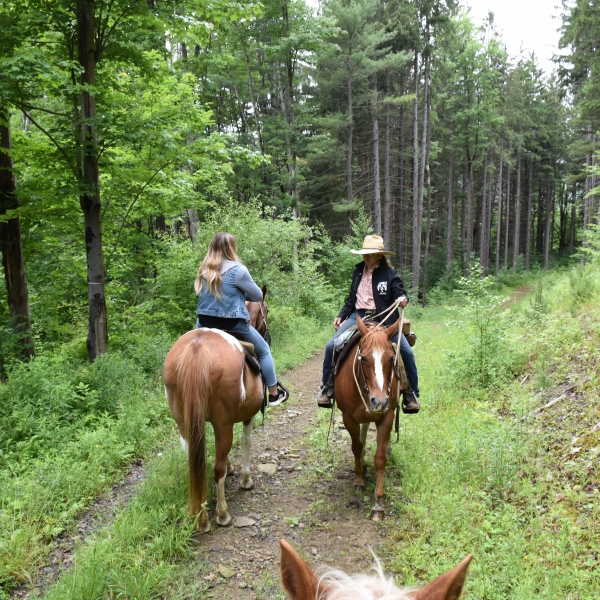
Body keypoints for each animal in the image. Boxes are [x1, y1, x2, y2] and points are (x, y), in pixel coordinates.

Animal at [165, 326, 266, 532]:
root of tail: (197, 347)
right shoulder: (247, 416)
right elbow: (246, 442)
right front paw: (245, 480)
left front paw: (232, 467)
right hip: (223, 423)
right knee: (217, 470)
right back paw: (222, 514)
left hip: (185, 424)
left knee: (198, 467)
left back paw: (202, 519)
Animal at [332, 318, 404, 520]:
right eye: (363, 358)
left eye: (391, 358)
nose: (378, 401)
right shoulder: (348, 417)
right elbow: (356, 448)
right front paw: (358, 481)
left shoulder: (387, 415)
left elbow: (380, 458)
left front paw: (378, 503)